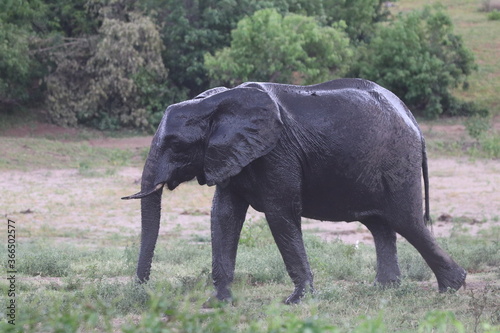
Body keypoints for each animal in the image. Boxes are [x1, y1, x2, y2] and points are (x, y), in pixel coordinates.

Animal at [123, 78, 466, 304]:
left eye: (176, 145)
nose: (143, 289)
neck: (215, 103)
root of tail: (413, 120)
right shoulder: (230, 154)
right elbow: (224, 216)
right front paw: (218, 303)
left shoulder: (276, 153)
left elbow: (280, 214)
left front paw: (297, 301)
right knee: (381, 224)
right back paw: (384, 290)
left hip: (397, 160)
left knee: (406, 221)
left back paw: (453, 287)